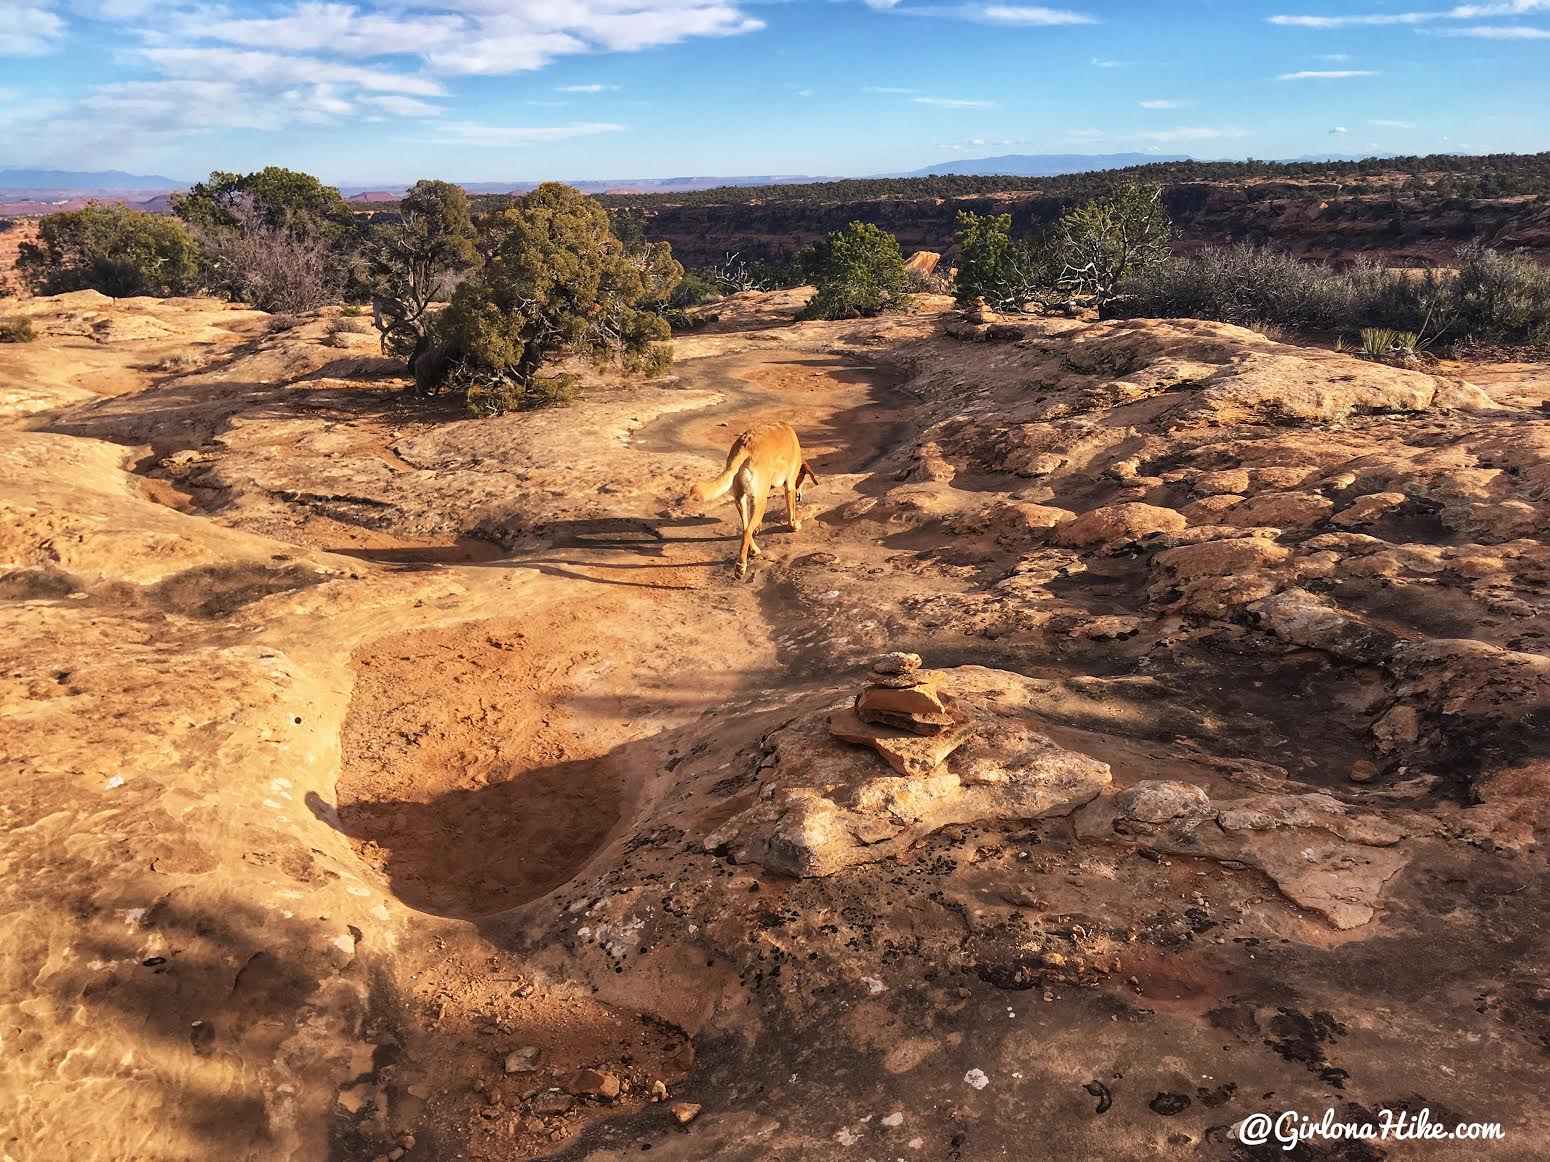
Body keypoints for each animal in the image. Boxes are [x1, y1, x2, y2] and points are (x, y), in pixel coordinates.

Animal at [694, 424, 818, 579]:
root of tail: (745, 445)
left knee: (745, 527)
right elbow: (791, 513)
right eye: (802, 479)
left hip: (740, 498)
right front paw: (794, 526)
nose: (800, 496)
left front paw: (758, 528)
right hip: (761, 501)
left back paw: (753, 550)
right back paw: (741, 566)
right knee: (747, 530)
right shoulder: (789, 485)